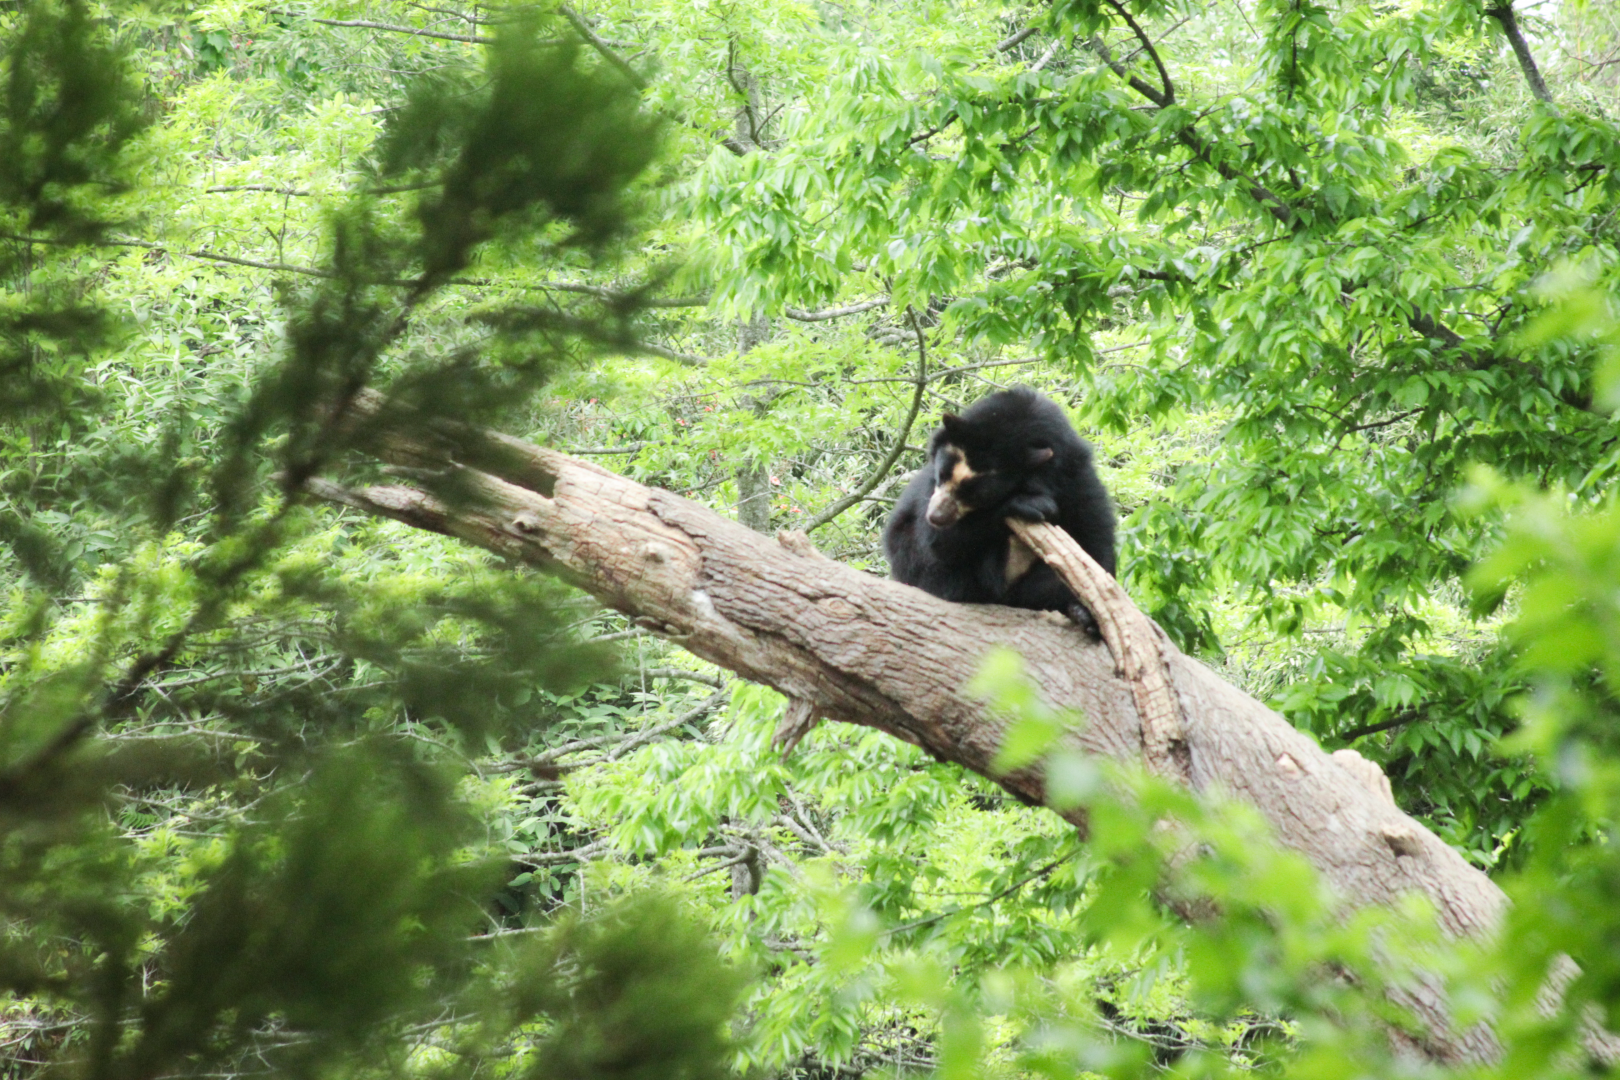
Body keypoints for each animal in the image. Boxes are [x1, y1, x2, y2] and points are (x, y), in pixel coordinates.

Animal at [882, 386, 1116, 635]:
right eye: (942, 475)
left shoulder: (1075, 477)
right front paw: (1031, 505)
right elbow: (939, 543)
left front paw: (1089, 614)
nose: (936, 517)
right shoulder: (928, 494)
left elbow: (1094, 537)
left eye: (976, 495)